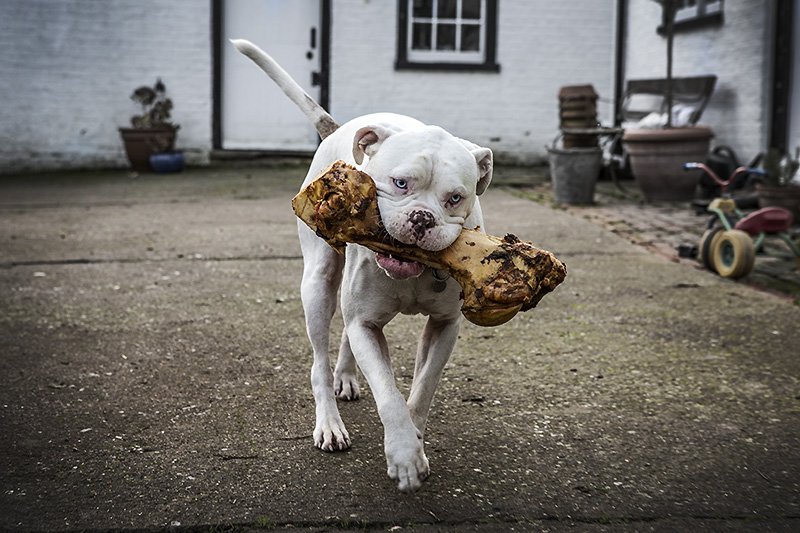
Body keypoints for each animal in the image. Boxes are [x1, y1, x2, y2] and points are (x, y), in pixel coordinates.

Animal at [232, 40, 493, 492]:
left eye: (455, 198)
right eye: (400, 183)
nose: (422, 218)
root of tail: (338, 128)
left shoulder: (443, 326)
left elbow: (422, 388)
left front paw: (415, 440)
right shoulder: (365, 324)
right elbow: (389, 395)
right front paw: (404, 454)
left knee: (345, 337)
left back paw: (346, 376)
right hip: (318, 284)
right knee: (319, 361)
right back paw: (329, 422)